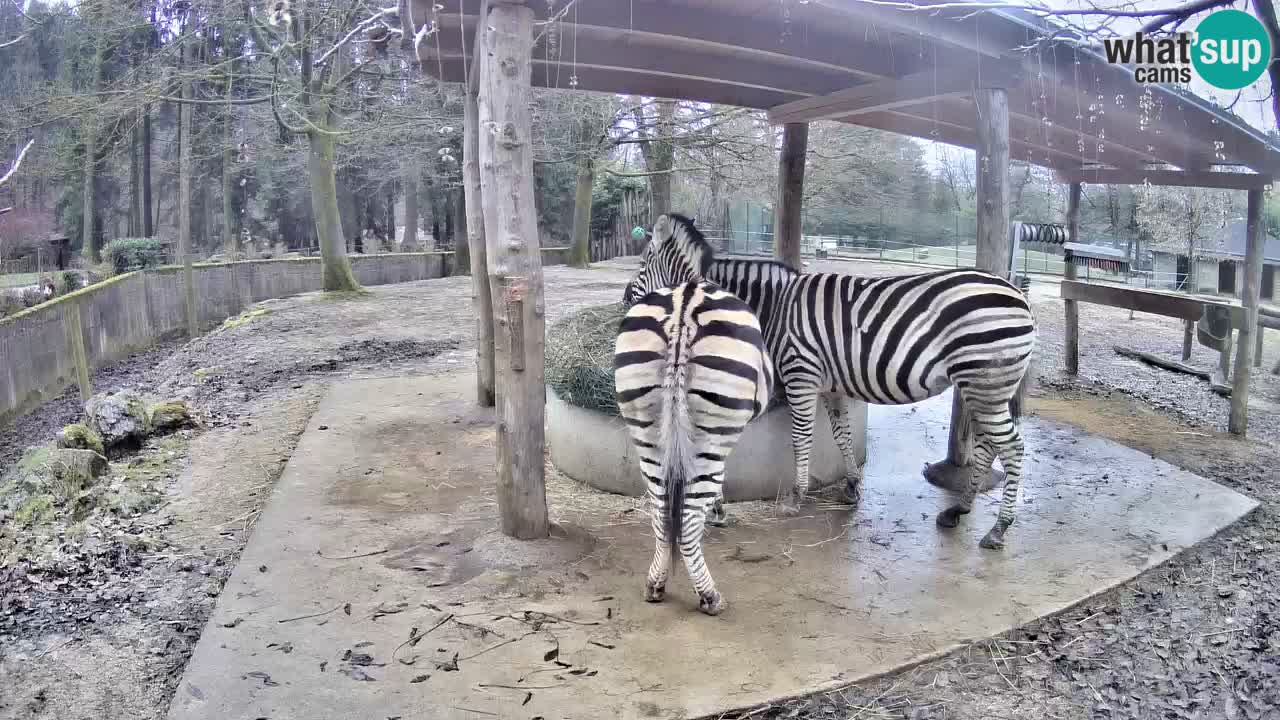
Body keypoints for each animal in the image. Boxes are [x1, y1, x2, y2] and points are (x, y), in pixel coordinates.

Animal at [611, 271, 768, 614]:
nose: (622, 297)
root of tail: (683, 307)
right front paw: (719, 511)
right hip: (712, 432)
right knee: (687, 523)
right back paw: (710, 597)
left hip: (647, 433)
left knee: (661, 514)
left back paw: (655, 585)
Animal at [629, 212, 1039, 548]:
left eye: (643, 263)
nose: (627, 300)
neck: (774, 308)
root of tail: (1018, 295)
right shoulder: (829, 385)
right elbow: (841, 435)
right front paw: (853, 487)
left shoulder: (800, 376)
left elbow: (800, 438)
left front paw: (793, 497)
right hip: (982, 386)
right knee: (988, 445)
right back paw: (959, 510)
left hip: (985, 380)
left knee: (1013, 447)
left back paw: (998, 529)